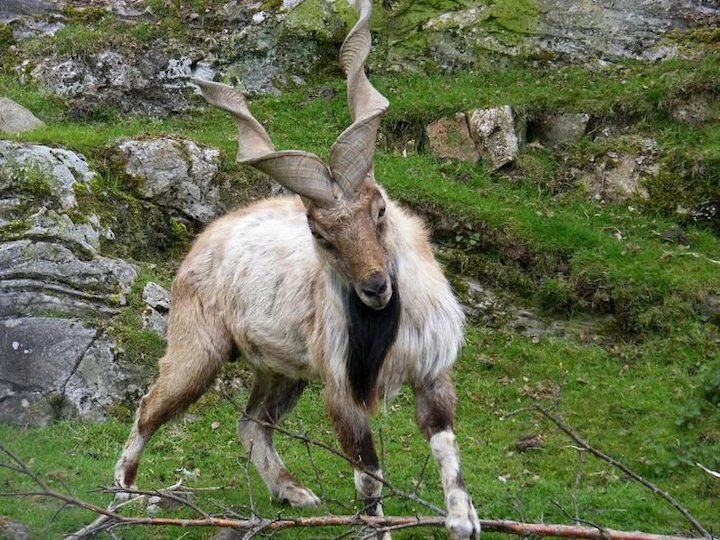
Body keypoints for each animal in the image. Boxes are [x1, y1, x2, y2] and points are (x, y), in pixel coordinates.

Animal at [113, 1, 480, 537]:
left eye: (380, 209)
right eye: (319, 234)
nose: (375, 287)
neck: (382, 331)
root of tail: (207, 237)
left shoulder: (431, 371)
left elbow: (445, 442)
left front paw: (462, 520)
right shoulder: (342, 388)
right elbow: (368, 472)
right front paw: (379, 527)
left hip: (281, 368)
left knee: (252, 422)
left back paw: (292, 492)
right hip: (198, 348)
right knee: (151, 406)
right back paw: (126, 493)